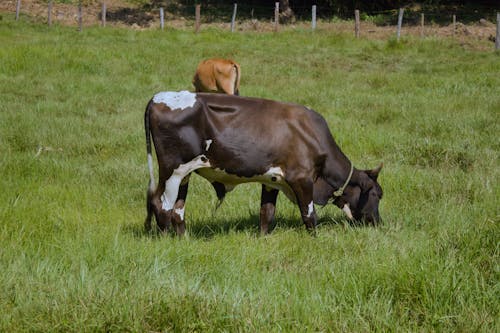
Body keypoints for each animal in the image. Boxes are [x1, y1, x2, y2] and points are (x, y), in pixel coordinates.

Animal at [143, 90, 384, 233]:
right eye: (376, 194)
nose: (377, 222)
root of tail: (158, 97)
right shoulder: (302, 179)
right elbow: (309, 215)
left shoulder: (272, 180)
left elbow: (266, 214)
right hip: (172, 171)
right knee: (162, 205)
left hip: (184, 174)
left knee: (177, 210)